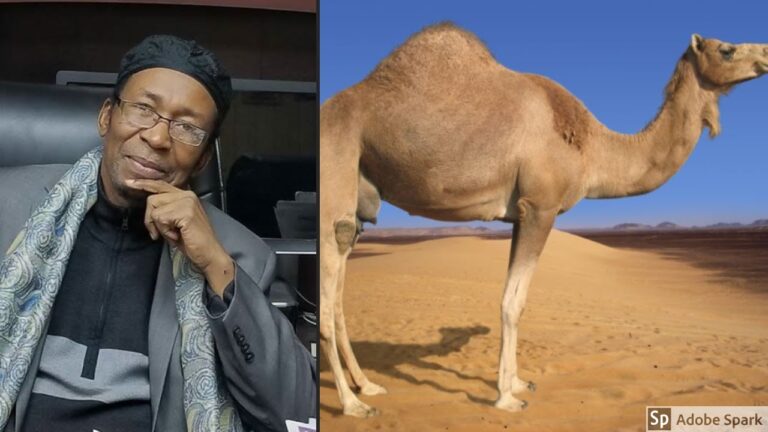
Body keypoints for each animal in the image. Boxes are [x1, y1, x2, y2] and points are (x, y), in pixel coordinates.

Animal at [320, 22, 768, 417]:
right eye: (727, 49)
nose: (765, 53)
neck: (592, 146)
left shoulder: (520, 214)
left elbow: (515, 299)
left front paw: (518, 382)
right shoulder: (541, 206)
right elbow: (512, 302)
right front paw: (506, 398)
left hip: (359, 204)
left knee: (339, 295)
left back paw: (368, 385)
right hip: (335, 179)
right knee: (327, 295)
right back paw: (353, 404)